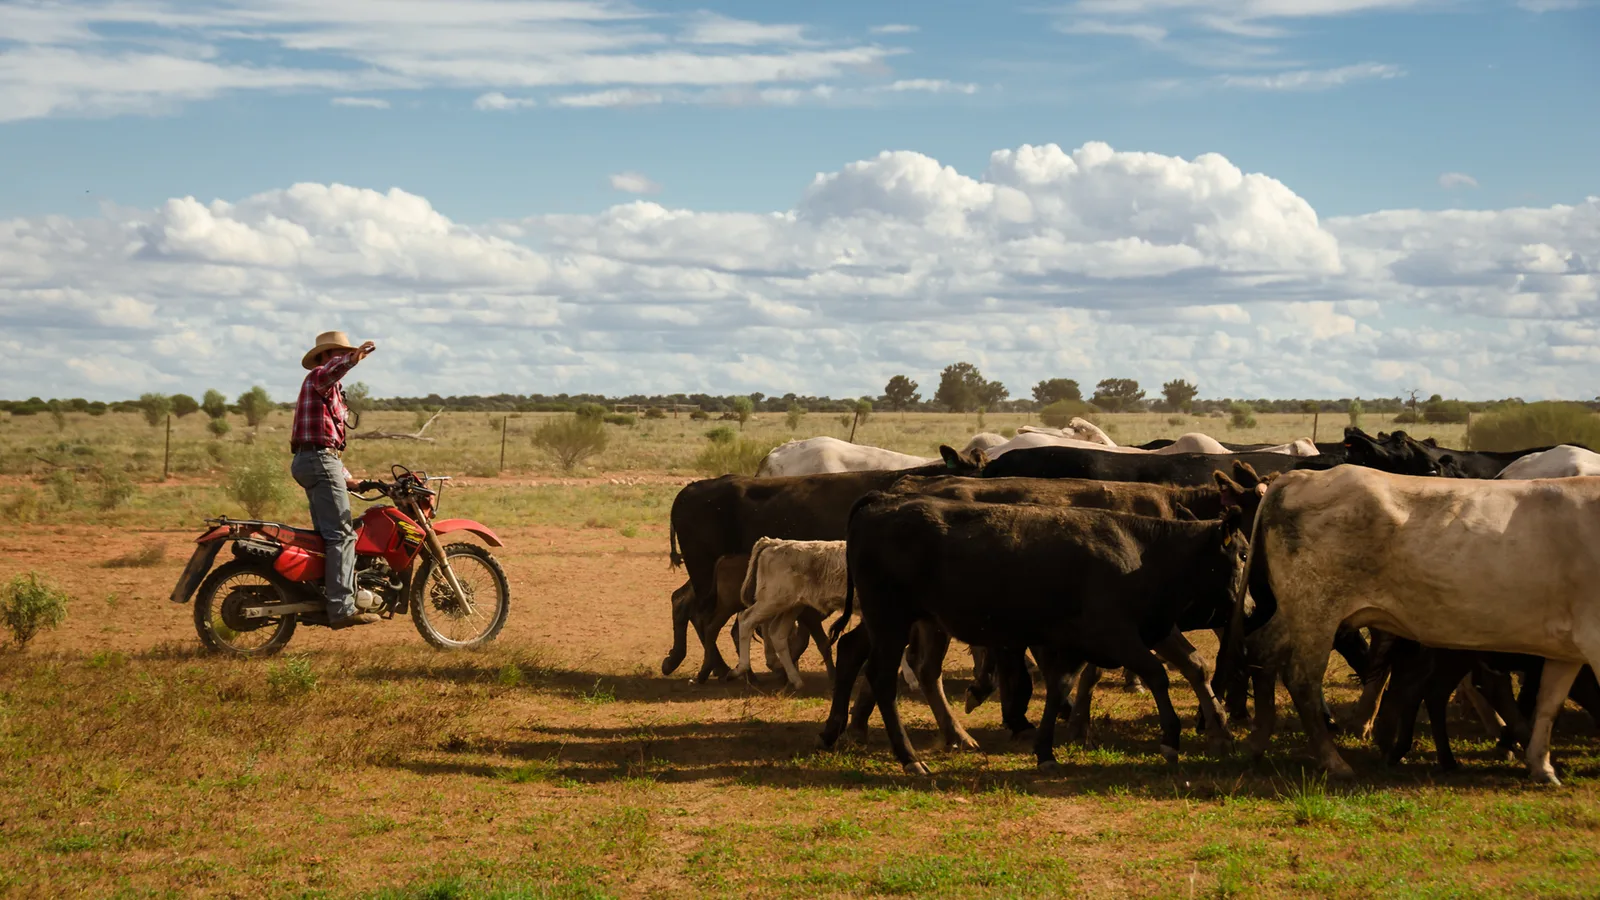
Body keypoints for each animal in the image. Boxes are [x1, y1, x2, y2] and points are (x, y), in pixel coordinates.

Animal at [832, 467, 1268, 752]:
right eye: (1245, 551)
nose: (1252, 607)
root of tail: (892, 492)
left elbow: (1192, 665)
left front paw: (1218, 726)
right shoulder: (1123, 628)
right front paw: (1077, 724)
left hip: (921, 621)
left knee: (901, 663)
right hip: (896, 618)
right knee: (878, 661)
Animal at [1235, 465, 1600, 784]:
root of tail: (1303, 476)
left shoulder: (1568, 649)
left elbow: (1548, 705)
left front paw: (1542, 766)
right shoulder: (1593, 638)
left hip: (1298, 611)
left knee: (1262, 651)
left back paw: (1257, 743)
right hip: (1316, 610)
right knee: (1302, 678)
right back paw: (1333, 761)